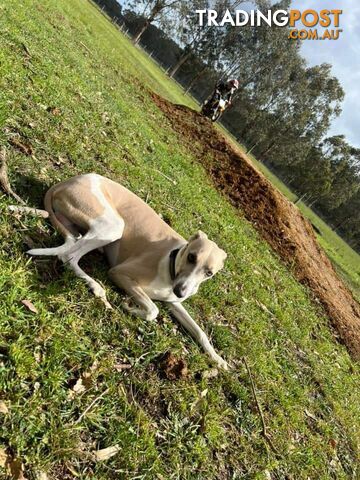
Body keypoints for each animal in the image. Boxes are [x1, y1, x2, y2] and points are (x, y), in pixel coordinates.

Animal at [27, 174, 228, 370]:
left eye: (209, 273)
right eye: (192, 257)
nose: (181, 291)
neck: (172, 262)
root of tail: (67, 181)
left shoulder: (173, 303)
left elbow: (200, 332)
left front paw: (218, 359)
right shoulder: (120, 273)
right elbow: (153, 310)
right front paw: (130, 308)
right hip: (113, 225)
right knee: (68, 256)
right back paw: (95, 285)